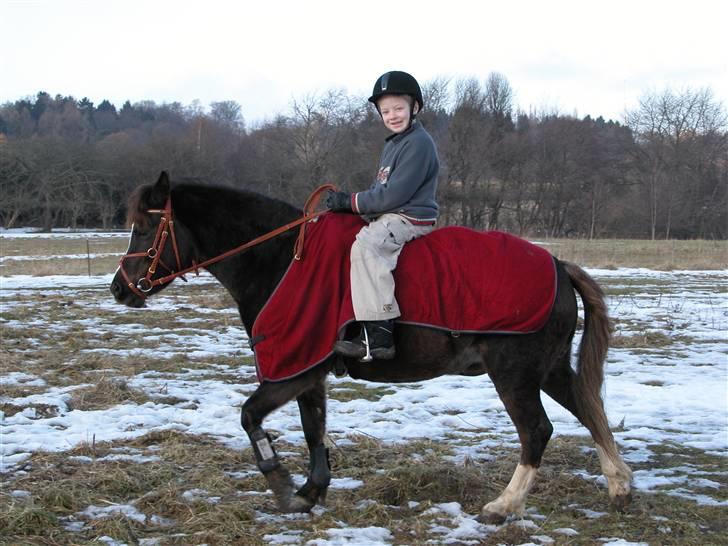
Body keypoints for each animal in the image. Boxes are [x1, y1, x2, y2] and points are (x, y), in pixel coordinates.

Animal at [109, 172, 632, 520]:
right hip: (548, 369)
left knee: (537, 431)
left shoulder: (292, 369)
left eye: (145, 228)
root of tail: (559, 265)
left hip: (515, 374)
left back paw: (504, 504)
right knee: (588, 408)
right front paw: (311, 491)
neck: (282, 259)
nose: (119, 289)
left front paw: (281, 484)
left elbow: (250, 417)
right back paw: (619, 485)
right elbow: (314, 429)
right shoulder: (308, 371)